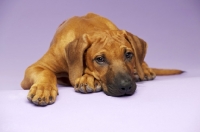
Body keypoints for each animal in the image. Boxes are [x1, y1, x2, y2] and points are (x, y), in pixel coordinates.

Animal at [20, 12, 183, 105]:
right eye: (100, 59)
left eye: (128, 55)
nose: (126, 86)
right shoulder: (35, 68)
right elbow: (46, 72)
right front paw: (43, 89)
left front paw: (87, 79)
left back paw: (144, 70)